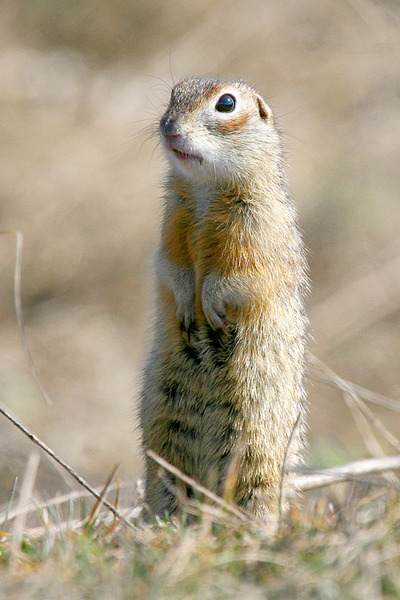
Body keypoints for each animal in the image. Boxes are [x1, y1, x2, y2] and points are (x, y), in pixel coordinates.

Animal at [139, 77, 308, 516]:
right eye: (173, 94)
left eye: (226, 104)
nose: (168, 127)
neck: (205, 189)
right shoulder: (172, 222)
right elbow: (170, 267)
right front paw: (187, 303)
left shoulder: (257, 226)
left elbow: (239, 276)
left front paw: (212, 307)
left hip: (255, 446)